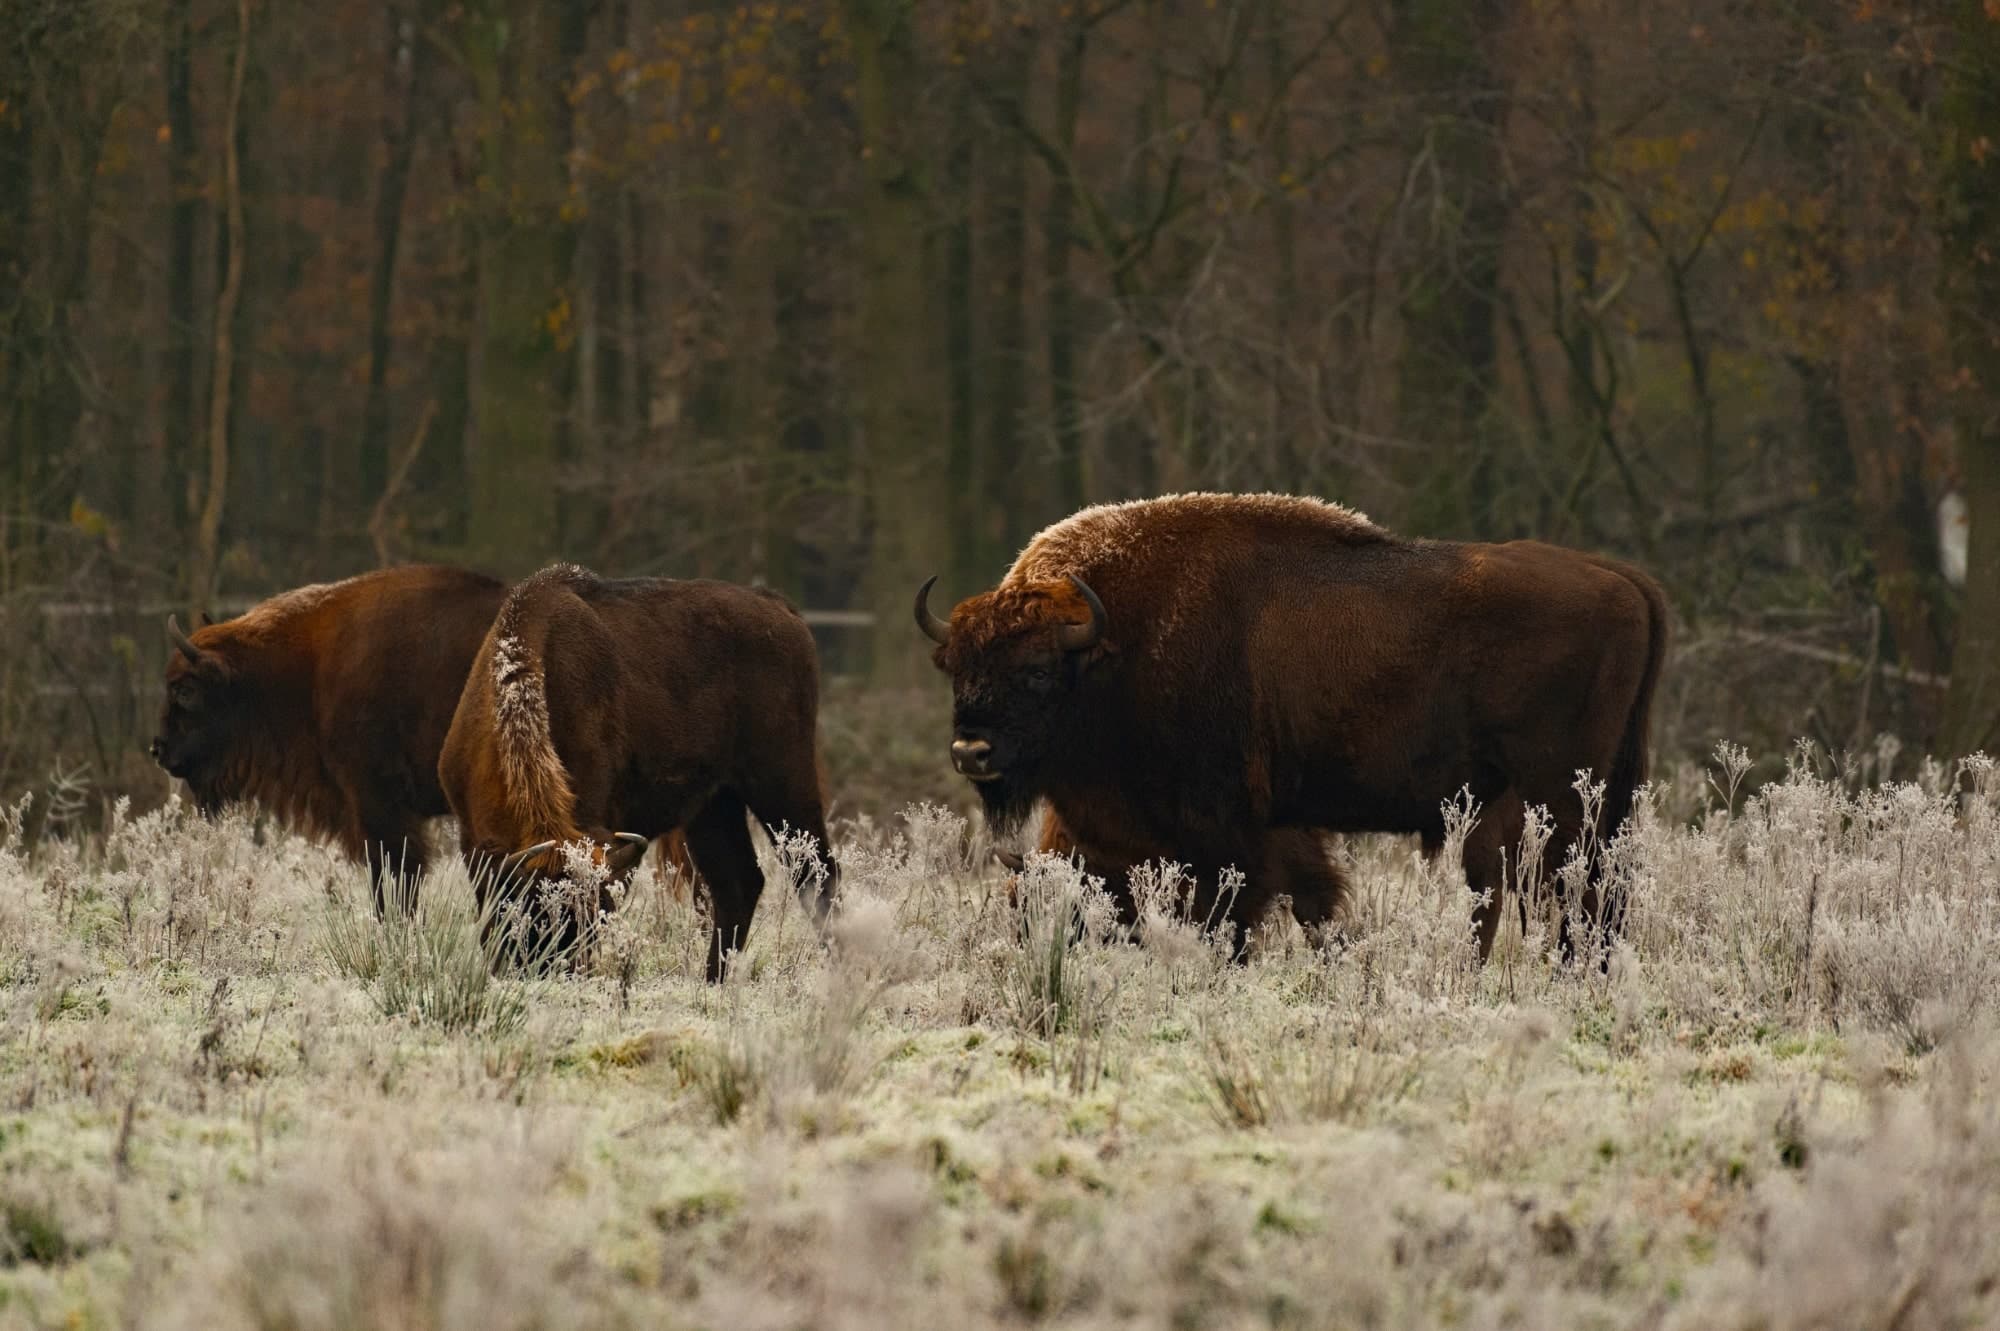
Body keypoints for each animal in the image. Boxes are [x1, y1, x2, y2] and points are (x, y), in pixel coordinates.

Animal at [438, 563, 839, 978]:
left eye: (592, 917)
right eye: (533, 914)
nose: (560, 970)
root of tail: (779, 608)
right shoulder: (475, 842)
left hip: (781, 783)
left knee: (816, 876)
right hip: (713, 804)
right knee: (738, 883)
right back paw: (713, 981)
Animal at [917, 492, 1667, 959]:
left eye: (1038, 674)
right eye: (956, 668)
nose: (972, 750)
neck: (1113, 647)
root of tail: (1620, 577)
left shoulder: (1228, 835)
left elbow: (1235, 916)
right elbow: (1312, 905)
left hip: (1560, 797)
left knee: (1574, 890)